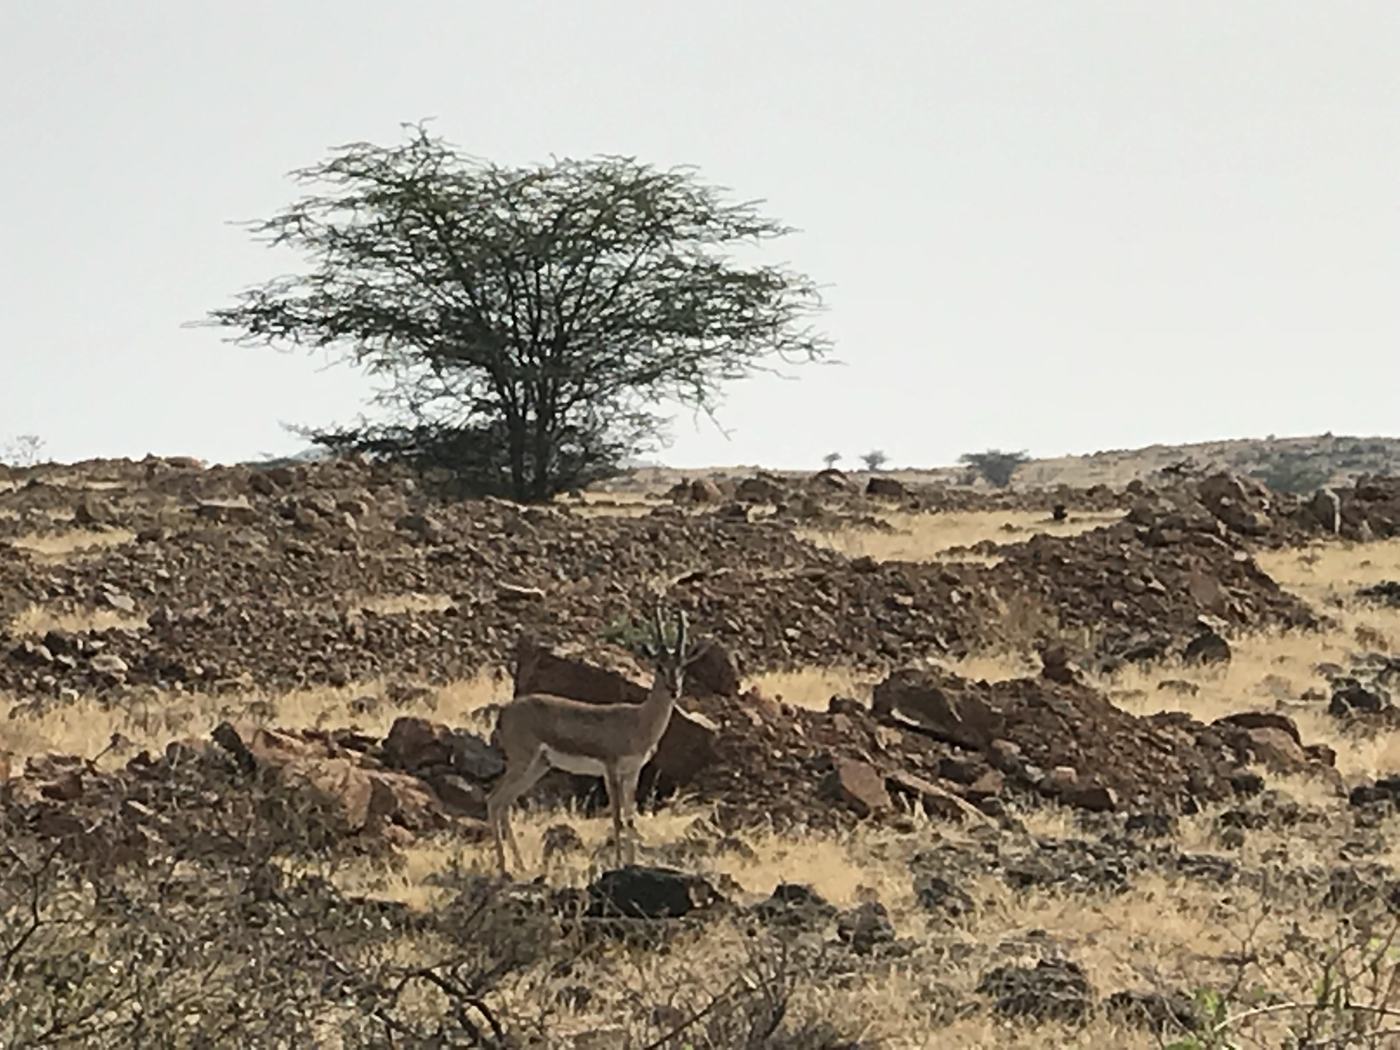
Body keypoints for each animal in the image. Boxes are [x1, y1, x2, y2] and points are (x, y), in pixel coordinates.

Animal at [486, 604, 698, 874]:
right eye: (659, 666)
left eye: (682, 667)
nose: (674, 690)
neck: (638, 721)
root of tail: (504, 711)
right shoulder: (610, 769)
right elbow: (617, 818)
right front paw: (617, 863)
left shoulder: (632, 773)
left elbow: (630, 818)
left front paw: (632, 863)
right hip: (522, 763)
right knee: (494, 800)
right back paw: (504, 868)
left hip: (538, 766)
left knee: (504, 803)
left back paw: (521, 866)